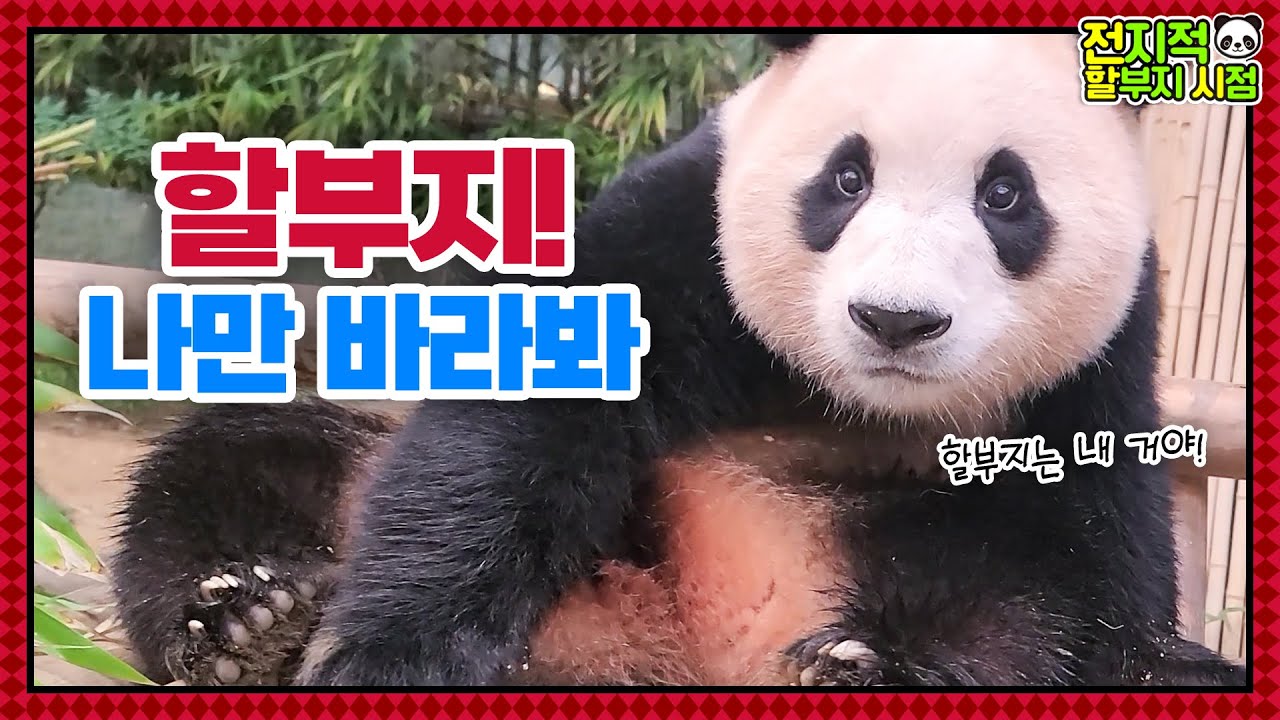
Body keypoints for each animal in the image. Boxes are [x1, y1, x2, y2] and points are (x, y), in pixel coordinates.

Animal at [110, 33, 1247, 688]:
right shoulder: (686, 228)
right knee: (257, 457)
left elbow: (1076, 577)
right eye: (845, 178)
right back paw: (245, 622)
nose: (893, 321)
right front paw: (398, 655)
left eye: (1004, 194)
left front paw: (879, 663)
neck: (851, 399)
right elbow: (528, 404)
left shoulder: (1096, 374)